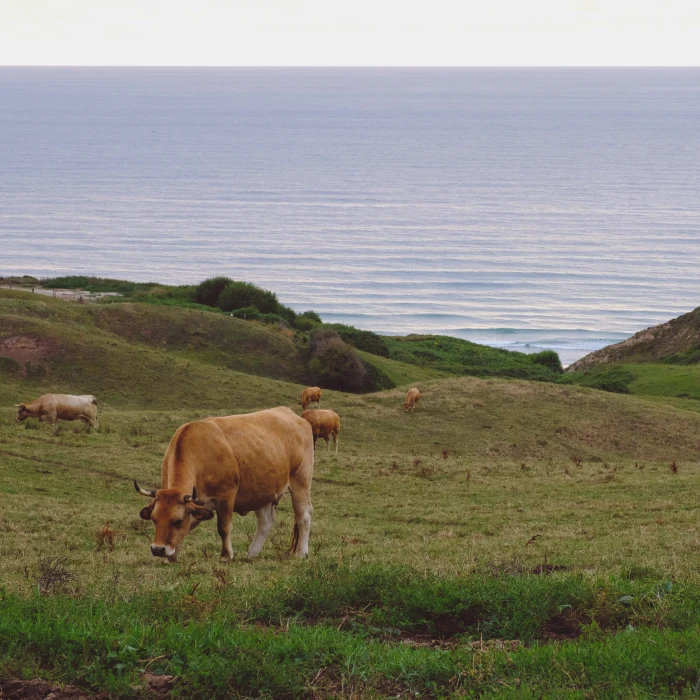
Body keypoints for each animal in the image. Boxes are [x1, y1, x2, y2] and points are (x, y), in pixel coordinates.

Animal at [133, 408, 314, 560]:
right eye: (154, 519)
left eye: (177, 521)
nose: (157, 549)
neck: (200, 452)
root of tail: (291, 413)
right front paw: (171, 556)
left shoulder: (226, 496)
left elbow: (224, 527)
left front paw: (226, 555)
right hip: (263, 492)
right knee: (265, 522)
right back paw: (252, 554)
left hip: (300, 482)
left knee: (303, 516)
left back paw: (301, 552)